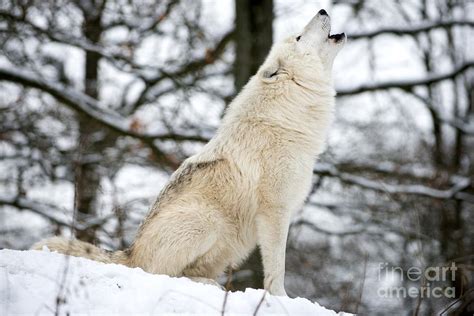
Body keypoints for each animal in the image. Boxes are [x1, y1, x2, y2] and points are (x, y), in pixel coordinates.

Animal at [32, 9, 344, 296]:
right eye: (299, 37)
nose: (322, 10)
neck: (286, 116)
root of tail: (129, 253)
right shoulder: (275, 211)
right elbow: (277, 267)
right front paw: (281, 298)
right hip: (205, 222)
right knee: (162, 274)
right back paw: (209, 285)